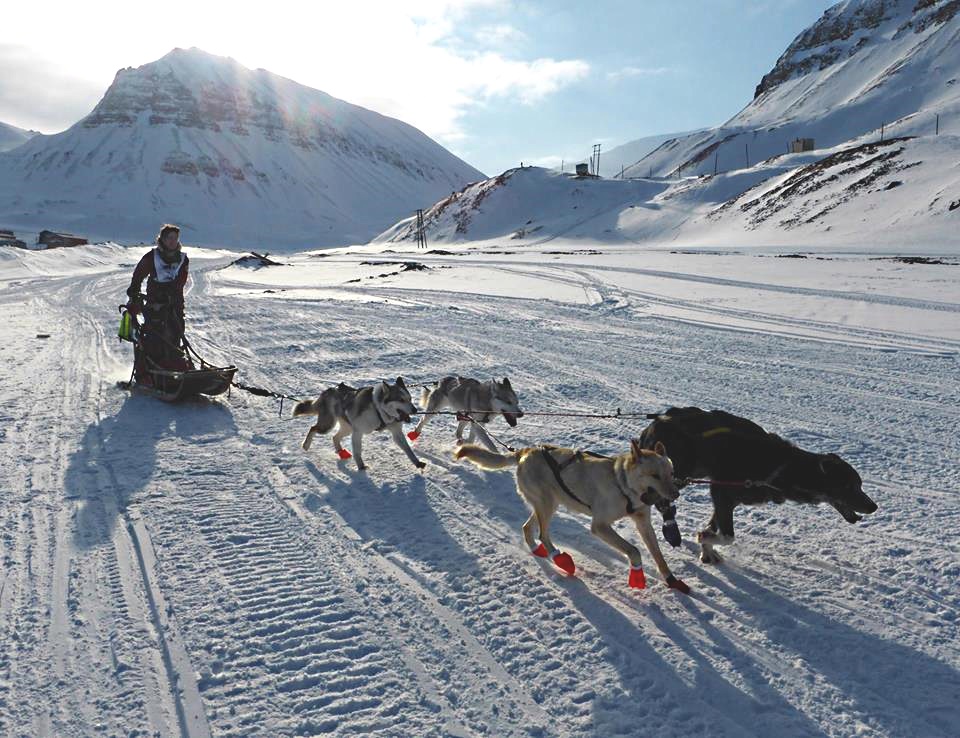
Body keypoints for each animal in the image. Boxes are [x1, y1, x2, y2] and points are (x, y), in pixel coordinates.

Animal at [458, 436, 688, 592]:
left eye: (671, 473)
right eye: (654, 475)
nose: (676, 493)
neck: (621, 483)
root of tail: (525, 452)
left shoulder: (643, 522)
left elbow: (657, 554)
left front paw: (671, 579)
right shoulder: (600, 526)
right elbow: (634, 550)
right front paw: (637, 576)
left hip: (547, 505)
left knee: (527, 528)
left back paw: (537, 549)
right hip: (547, 505)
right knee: (543, 534)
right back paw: (559, 558)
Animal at [636, 406, 876, 560]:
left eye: (860, 484)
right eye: (849, 486)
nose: (874, 506)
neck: (784, 466)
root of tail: (657, 421)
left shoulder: (725, 498)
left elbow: (714, 527)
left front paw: (706, 546)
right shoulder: (722, 493)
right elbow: (728, 536)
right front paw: (705, 539)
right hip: (678, 473)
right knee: (658, 498)